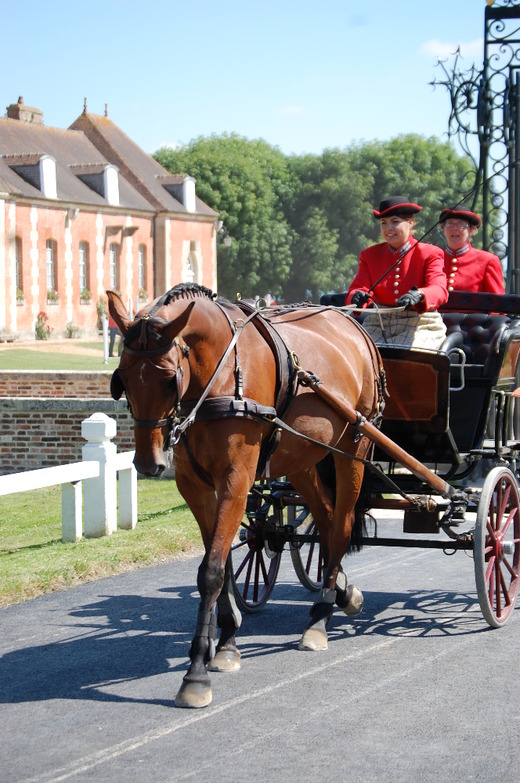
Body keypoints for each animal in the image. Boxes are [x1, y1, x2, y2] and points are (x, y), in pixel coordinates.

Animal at [108, 284, 386, 712]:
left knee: (340, 526)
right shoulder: (195, 485)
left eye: (170, 380)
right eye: (122, 378)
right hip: (301, 455)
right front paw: (226, 642)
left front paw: (196, 674)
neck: (218, 377)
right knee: (324, 519)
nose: (148, 463)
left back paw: (320, 617)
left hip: (353, 447)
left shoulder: (236, 480)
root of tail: (354, 326)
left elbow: (211, 571)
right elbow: (219, 563)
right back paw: (340, 591)